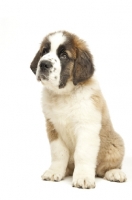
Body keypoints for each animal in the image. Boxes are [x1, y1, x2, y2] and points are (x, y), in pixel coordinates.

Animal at [30, 30, 126, 188]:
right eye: (44, 51)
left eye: (63, 55)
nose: (43, 64)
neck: (64, 94)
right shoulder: (53, 128)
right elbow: (58, 153)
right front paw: (54, 171)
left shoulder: (87, 128)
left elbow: (83, 153)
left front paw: (83, 177)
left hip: (116, 144)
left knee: (108, 167)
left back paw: (115, 173)